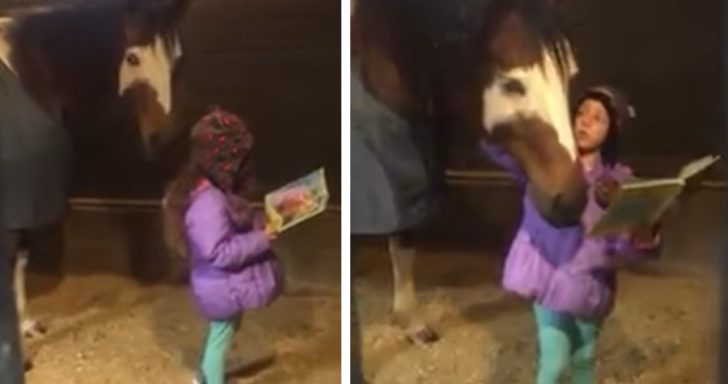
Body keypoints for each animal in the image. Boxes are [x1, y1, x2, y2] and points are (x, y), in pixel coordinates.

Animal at [350, 0, 588, 348]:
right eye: (512, 85)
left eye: (570, 75)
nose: (572, 200)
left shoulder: (411, 171)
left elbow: (404, 239)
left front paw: (411, 321)